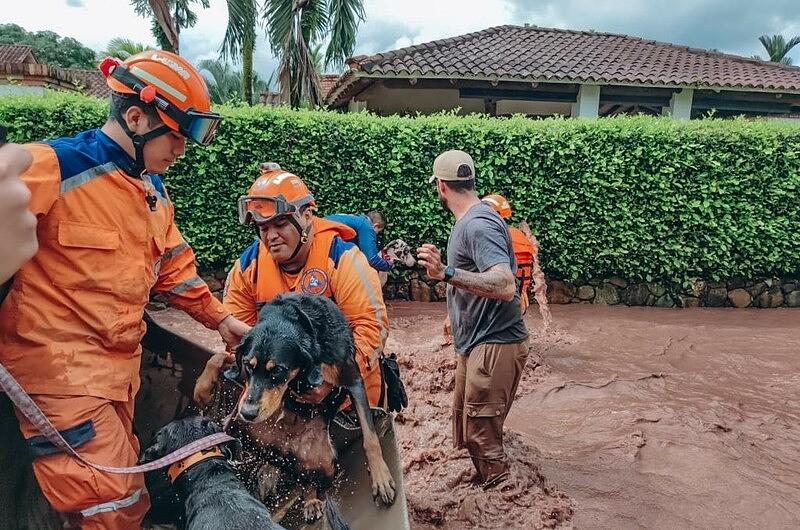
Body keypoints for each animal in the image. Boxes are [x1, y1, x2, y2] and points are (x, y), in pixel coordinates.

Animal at [227, 292, 396, 520]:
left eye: (277, 370)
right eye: (247, 365)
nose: (247, 413)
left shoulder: (352, 380)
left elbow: (370, 439)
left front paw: (381, 478)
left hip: (325, 460)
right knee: (303, 479)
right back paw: (309, 500)